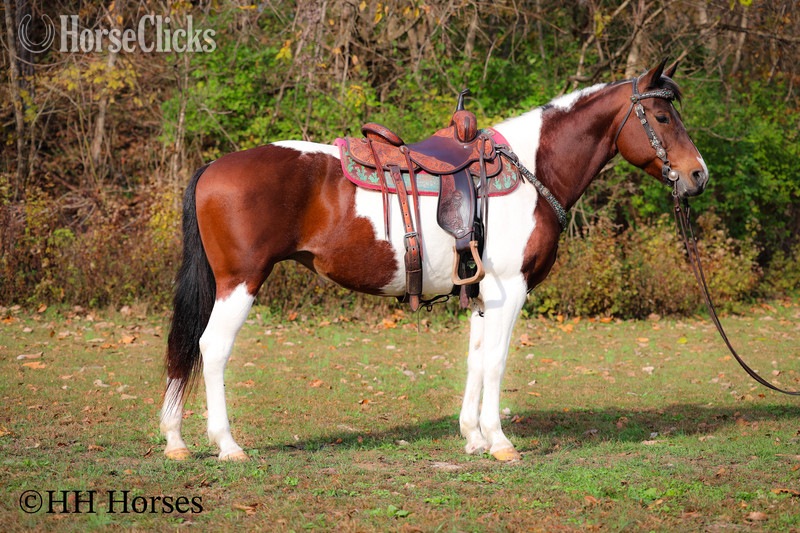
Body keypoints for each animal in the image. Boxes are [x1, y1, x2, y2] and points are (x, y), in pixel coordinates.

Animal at [160, 59, 708, 462]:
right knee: (211, 348)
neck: (532, 170)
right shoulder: (510, 288)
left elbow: (476, 359)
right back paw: (227, 445)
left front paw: (474, 437)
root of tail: (213, 167)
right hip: (241, 281)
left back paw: (176, 441)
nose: (698, 175)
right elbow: (497, 361)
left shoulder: (484, 294)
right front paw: (500, 442)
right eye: (662, 118)